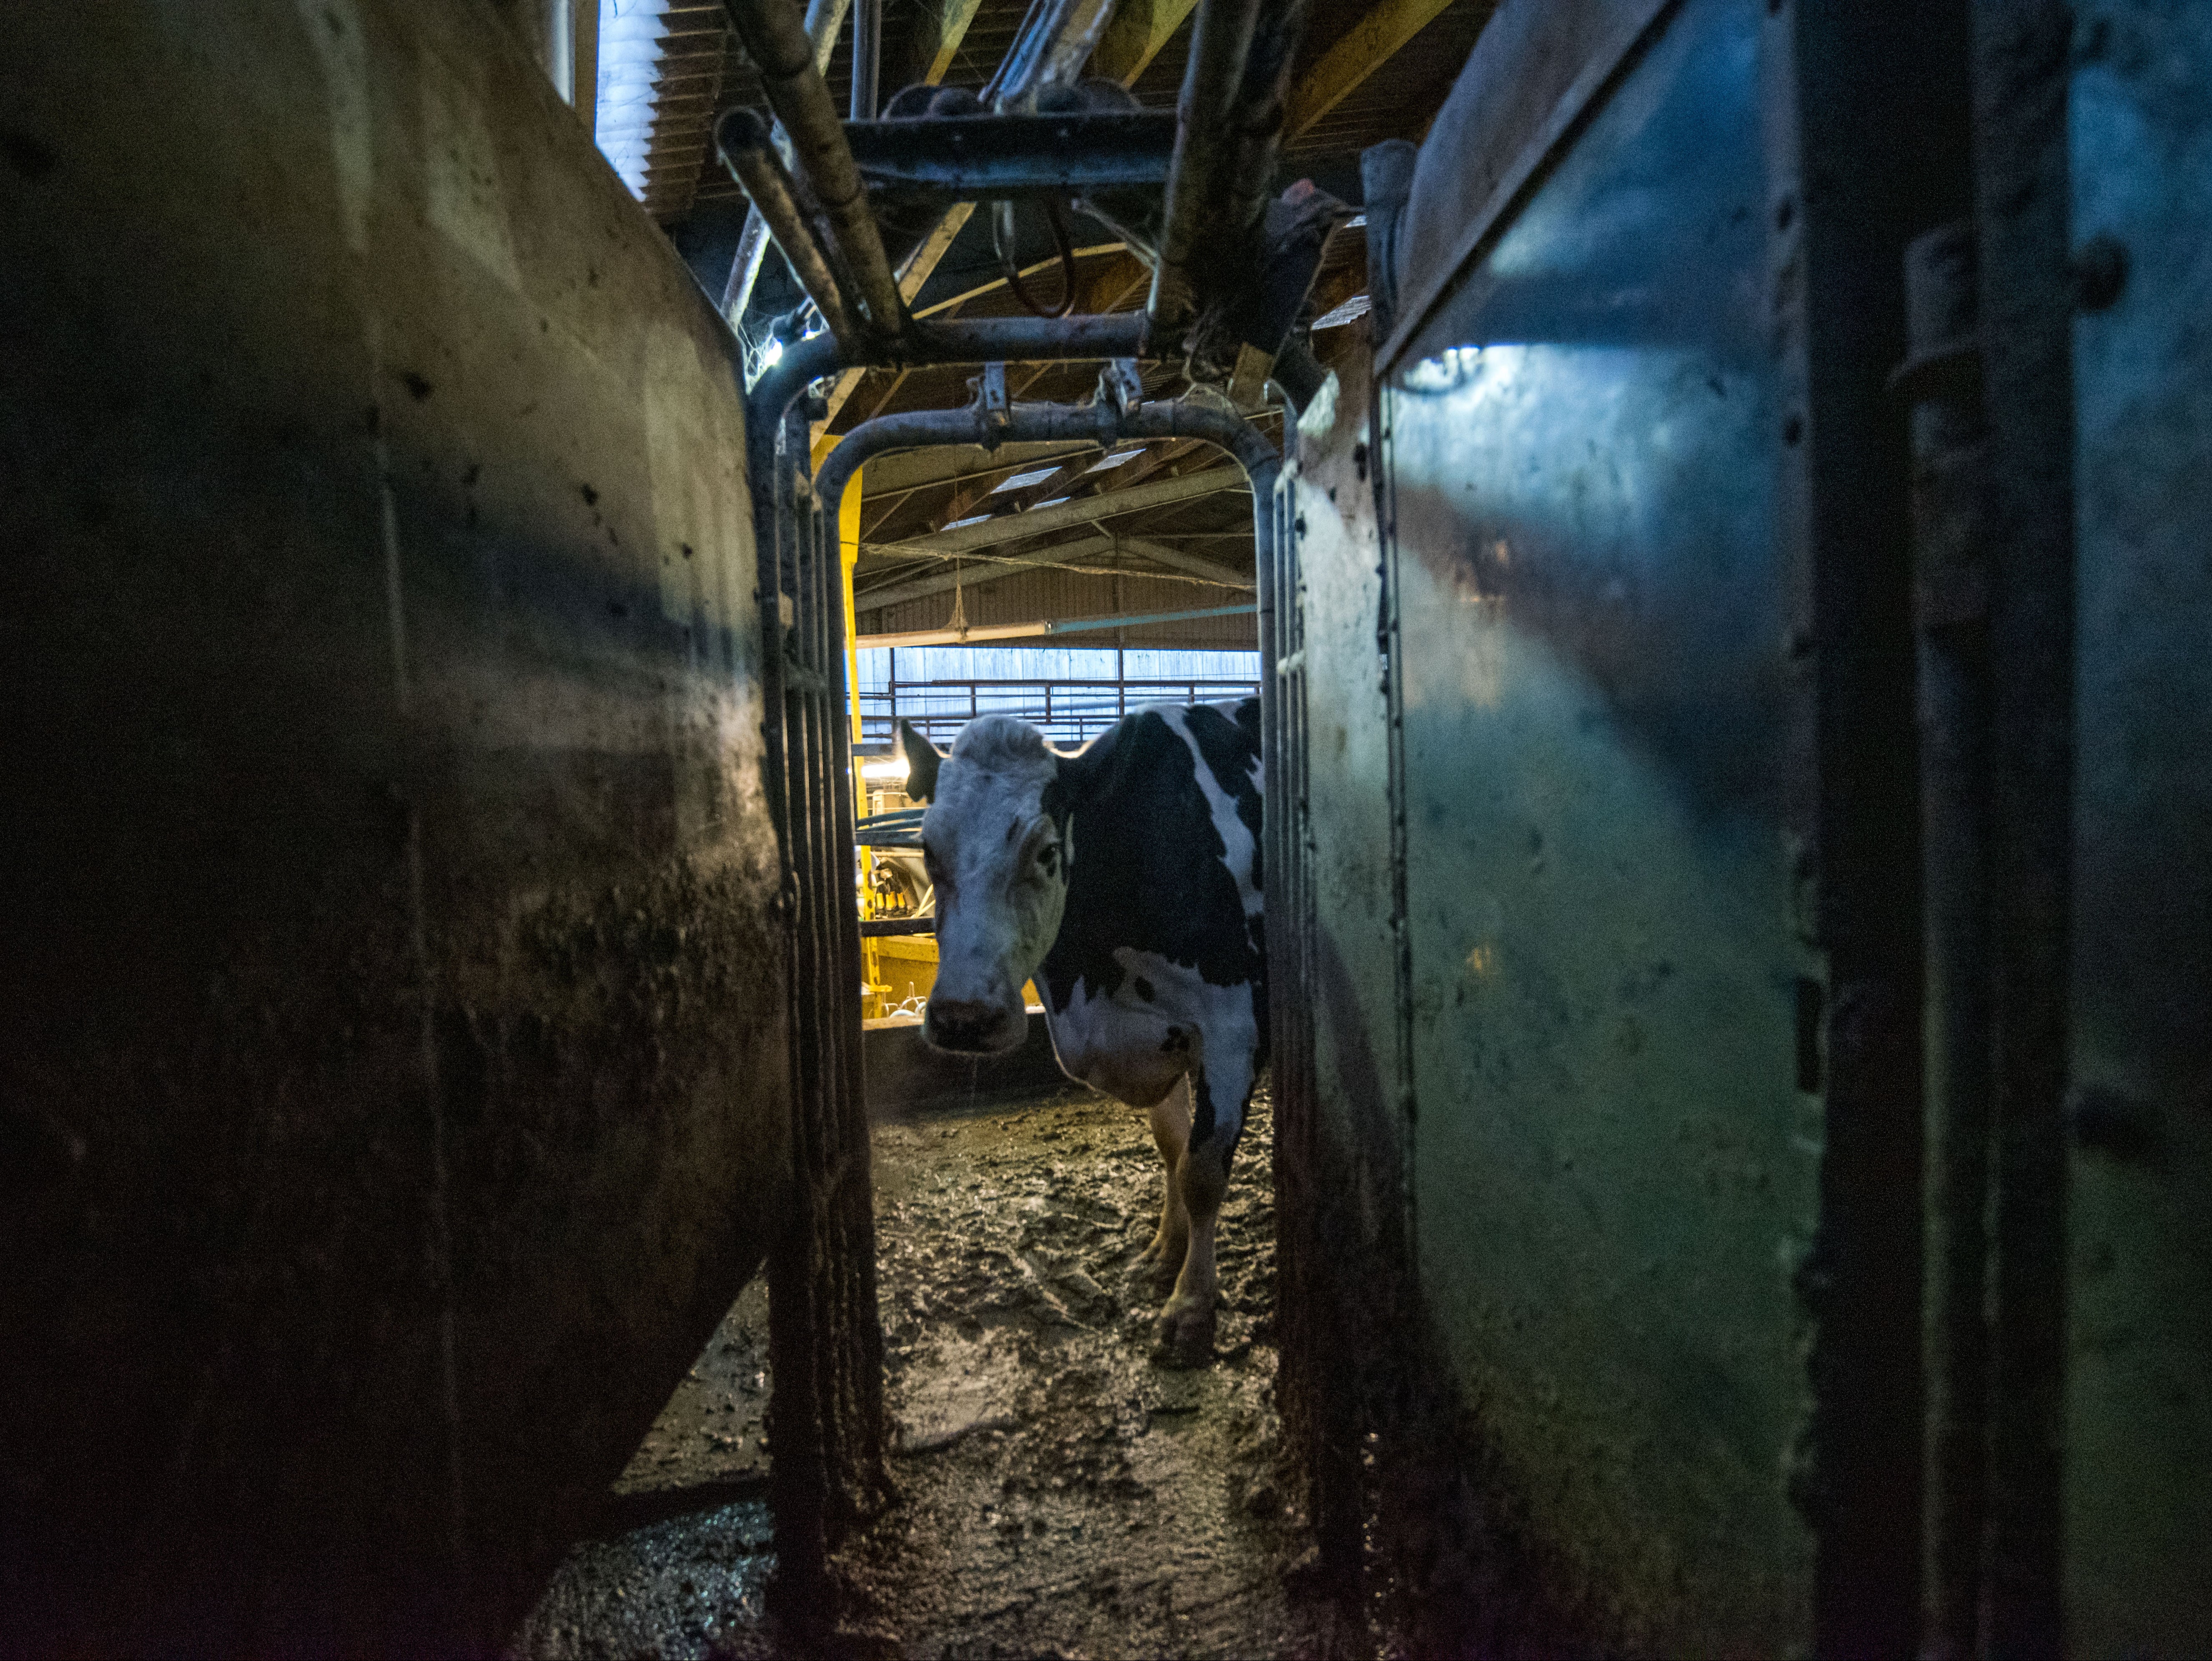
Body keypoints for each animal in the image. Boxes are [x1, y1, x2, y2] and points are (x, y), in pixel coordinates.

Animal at [898, 703, 1274, 1362]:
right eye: (928, 848)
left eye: (1047, 851)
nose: (964, 1018)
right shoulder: (1167, 1036)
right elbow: (1173, 1148)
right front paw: (1165, 1252)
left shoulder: (1232, 1030)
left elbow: (1202, 1172)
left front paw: (1190, 1310)